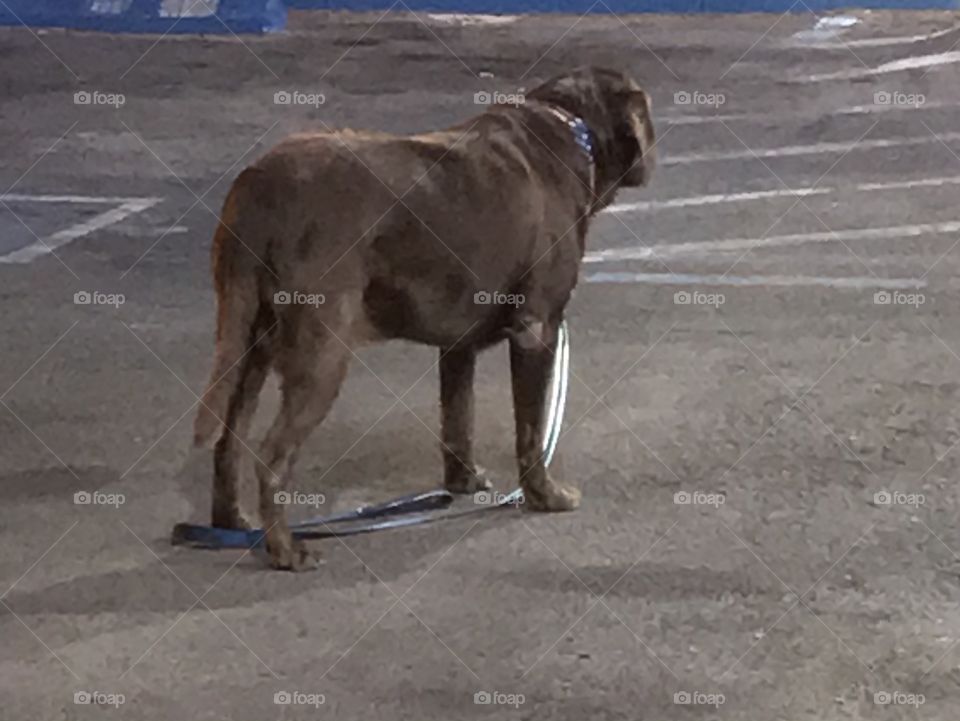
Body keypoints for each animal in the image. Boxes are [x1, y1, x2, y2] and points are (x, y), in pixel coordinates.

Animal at [193, 67, 660, 572]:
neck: (568, 124)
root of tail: (259, 184)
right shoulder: (536, 329)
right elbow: (531, 430)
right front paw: (545, 496)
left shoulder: (457, 344)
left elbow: (458, 417)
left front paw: (463, 482)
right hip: (322, 352)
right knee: (272, 454)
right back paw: (285, 550)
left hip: (247, 341)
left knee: (228, 440)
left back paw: (231, 523)